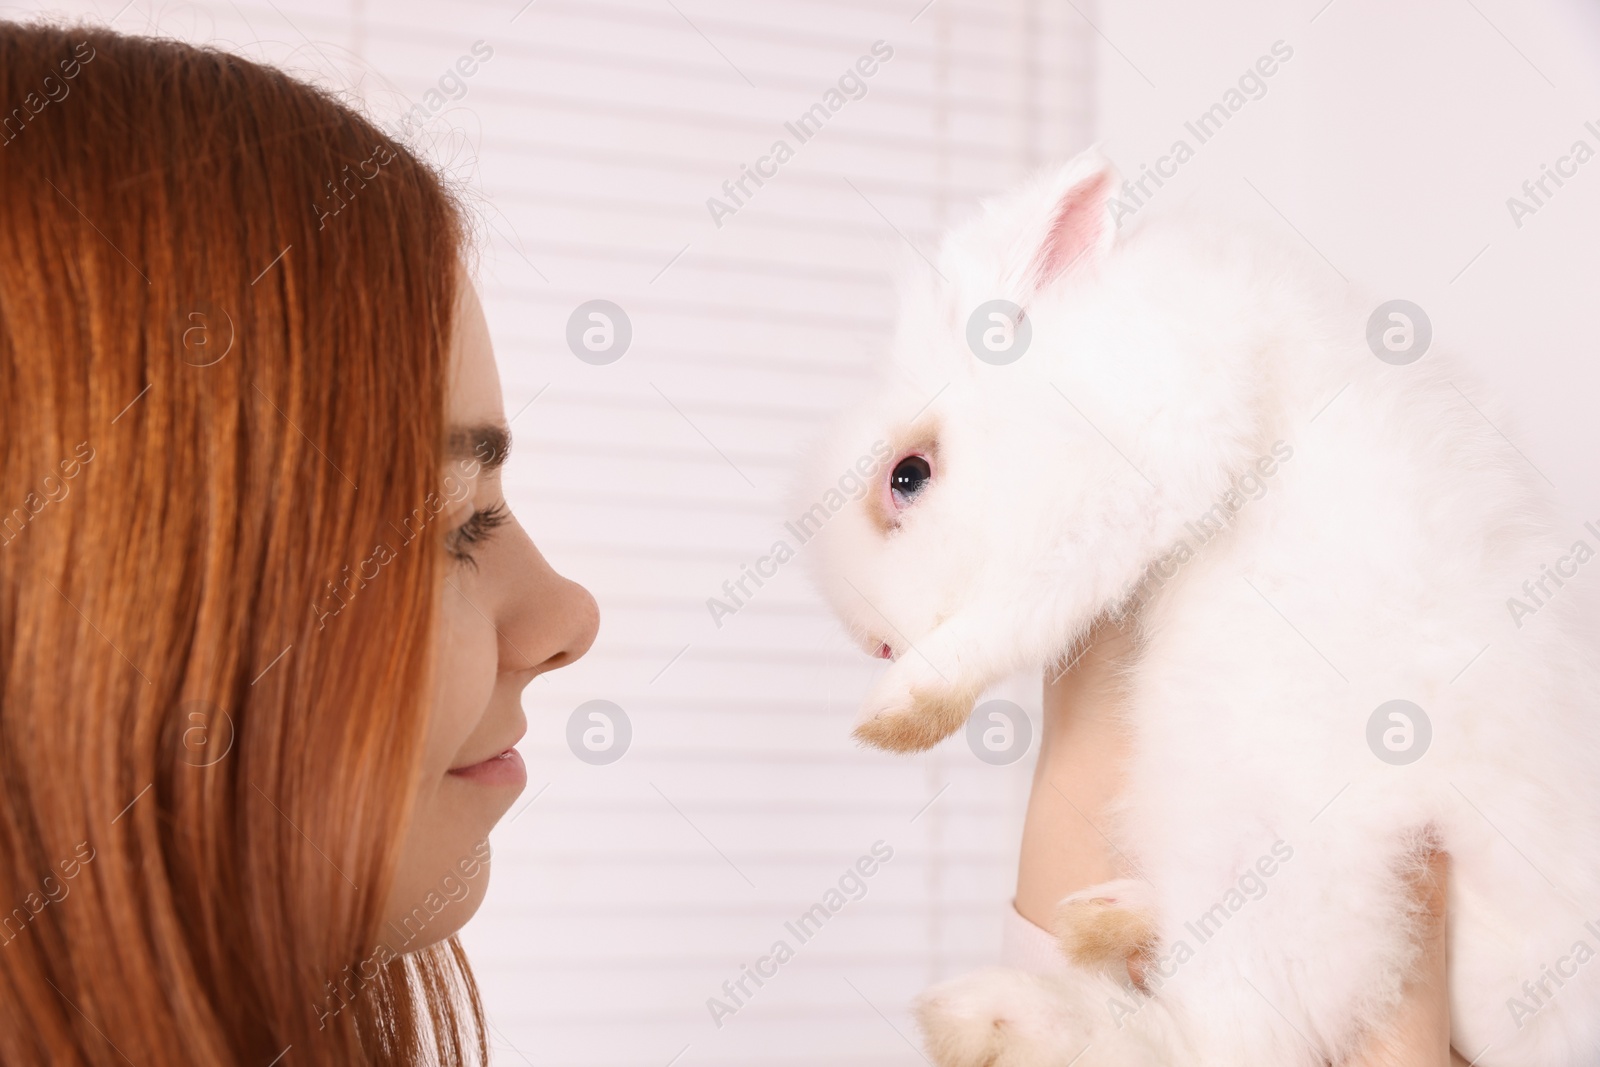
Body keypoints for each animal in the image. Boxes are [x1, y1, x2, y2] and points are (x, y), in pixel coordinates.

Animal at [806, 150, 1600, 1067]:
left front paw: (899, 713)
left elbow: (1023, 600)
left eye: (908, 475)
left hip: (1279, 844)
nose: (875, 645)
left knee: (1230, 1036)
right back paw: (1108, 919)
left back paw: (995, 1015)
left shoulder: (1141, 467)